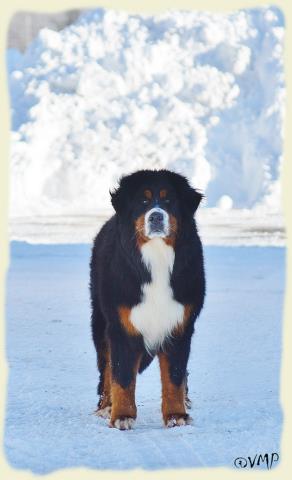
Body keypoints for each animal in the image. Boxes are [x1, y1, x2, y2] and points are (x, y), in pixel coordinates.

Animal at [89, 170, 205, 432]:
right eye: (143, 201)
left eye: (169, 200)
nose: (156, 217)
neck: (157, 257)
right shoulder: (121, 326)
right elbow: (121, 376)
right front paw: (121, 416)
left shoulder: (180, 325)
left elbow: (174, 376)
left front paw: (176, 415)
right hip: (100, 322)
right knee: (106, 368)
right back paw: (105, 406)